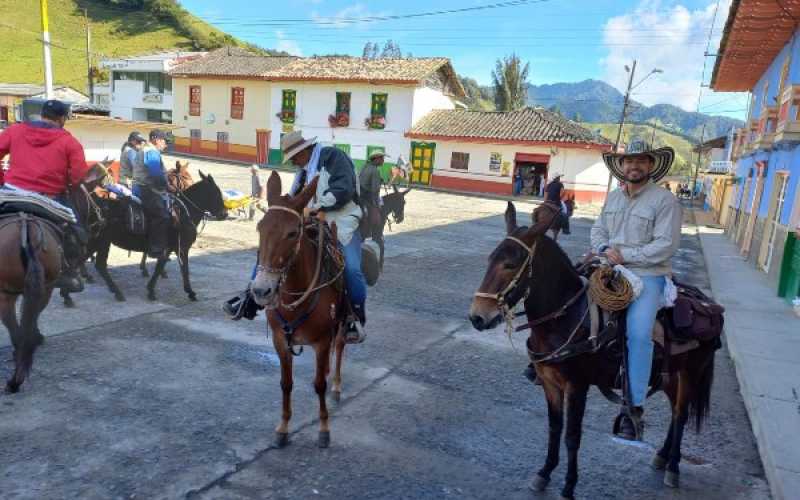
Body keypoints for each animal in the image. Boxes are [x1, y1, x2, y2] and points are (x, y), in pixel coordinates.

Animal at [60, 171, 225, 304]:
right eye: (217, 193)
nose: (224, 214)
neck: (184, 213)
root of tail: (93, 206)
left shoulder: (175, 249)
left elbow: (172, 268)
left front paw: (184, 291)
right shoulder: (179, 248)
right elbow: (172, 268)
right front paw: (155, 290)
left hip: (96, 242)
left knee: (86, 262)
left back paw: (69, 294)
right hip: (101, 241)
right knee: (95, 264)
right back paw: (113, 292)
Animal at [252, 172, 348, 450]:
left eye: (293, 232)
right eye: (260, 227)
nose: (261, 290)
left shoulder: (322, 341)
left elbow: (319, 385)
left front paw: (324, 428)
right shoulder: (280, 341)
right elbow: (286, 384)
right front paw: (283, 427)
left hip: (342, 322)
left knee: (340, 345)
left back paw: (337, 386)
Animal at [468, 202, 720, 496]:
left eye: (510, 265)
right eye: (490, 259)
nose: (477, 317)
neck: (564, 318)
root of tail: (708, 304)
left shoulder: (577, 386)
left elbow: (572, 436)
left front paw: (568, 486)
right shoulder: (549, 383)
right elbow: (554, 428)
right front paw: (544, 473)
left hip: (691, 373)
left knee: (681, 414)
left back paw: (673, 468)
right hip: (671, 376)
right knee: (675, 411)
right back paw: (661, 456)